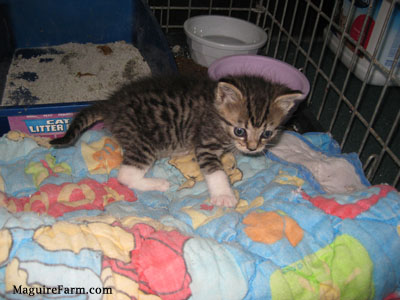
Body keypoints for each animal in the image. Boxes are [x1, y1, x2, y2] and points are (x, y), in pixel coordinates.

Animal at [51, 74, 304, 206]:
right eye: (240, 130)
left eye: (267, 133)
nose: (252, 148)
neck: (216, 112)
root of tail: (112, 104)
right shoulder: (205, 142)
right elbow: (215, 171)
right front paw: (224, 196)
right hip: (143, 141)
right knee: (125, 176)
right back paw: (157, 184)